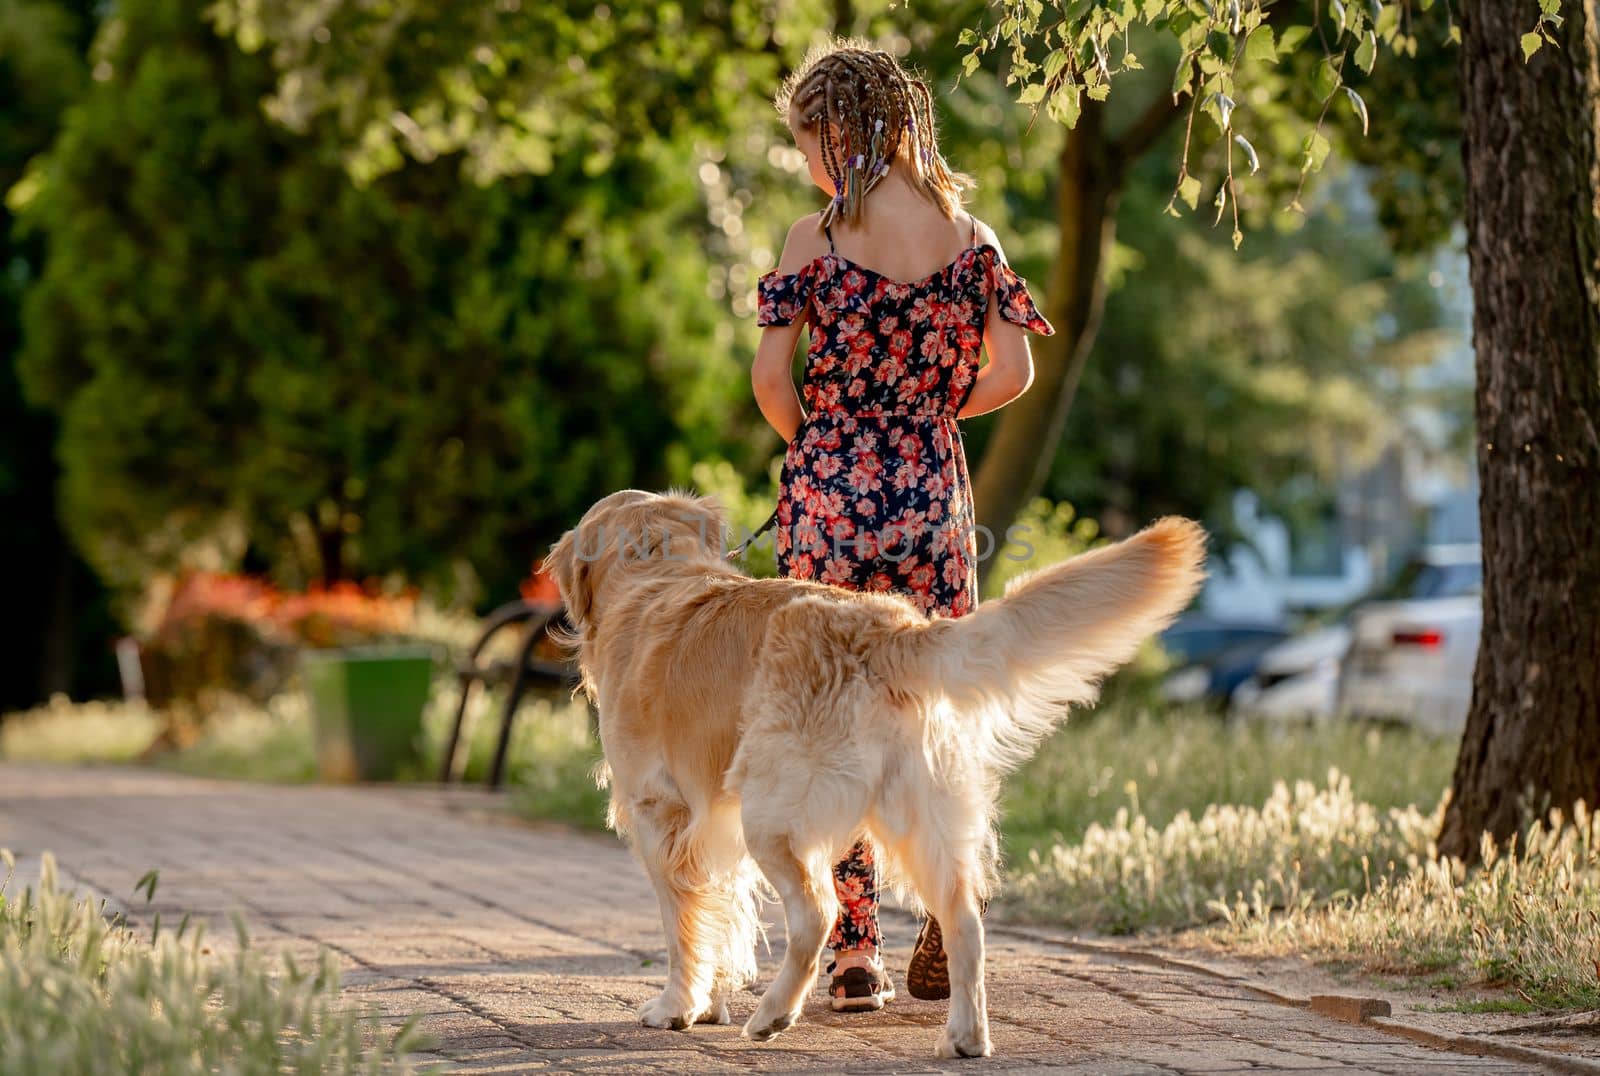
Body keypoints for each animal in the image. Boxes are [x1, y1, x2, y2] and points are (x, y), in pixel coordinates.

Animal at [547, 489, 1203, 1056]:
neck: (655, 575)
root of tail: (887, 630)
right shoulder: (712, 824)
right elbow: (722, 916)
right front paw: (710, 1005)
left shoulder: (660, 814)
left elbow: (682, 926)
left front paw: (677, 1008)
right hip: (920, 817)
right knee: (965, 921)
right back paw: (965, 1036)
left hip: (774, 815)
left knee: (819, 914)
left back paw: (774, 1015)